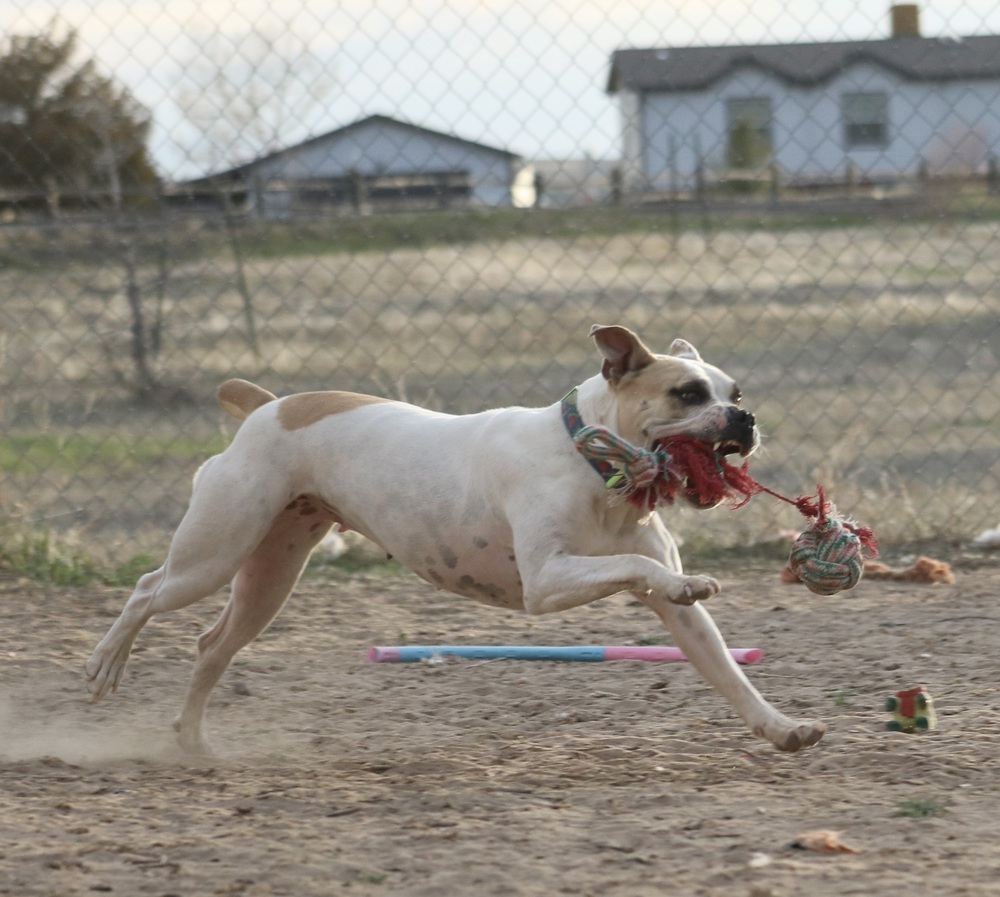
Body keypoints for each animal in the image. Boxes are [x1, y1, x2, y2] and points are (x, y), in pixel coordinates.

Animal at [86, 326, 824, 752]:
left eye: (734, 392)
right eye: (689, 393)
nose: (745, 418)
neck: (591, 459)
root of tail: (268, 407)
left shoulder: (680, 623)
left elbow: (729, 674)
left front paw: (780, 727)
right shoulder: (547, 580)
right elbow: (636, 568)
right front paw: (685, 578)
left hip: (269, 577)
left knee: (211, 644)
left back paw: (191, 740)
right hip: (214, 552)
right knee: (147, 590)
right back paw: (105, 666)